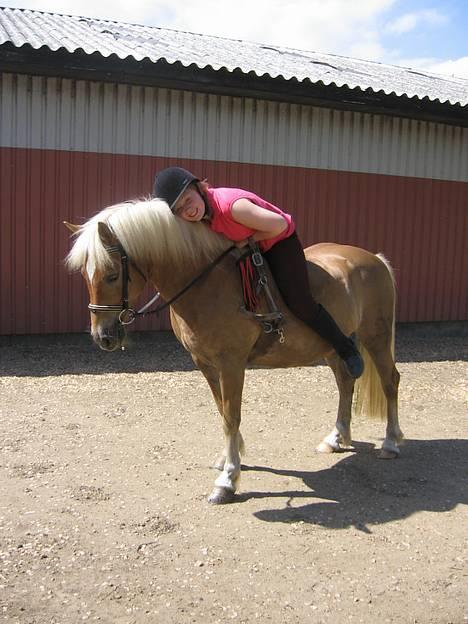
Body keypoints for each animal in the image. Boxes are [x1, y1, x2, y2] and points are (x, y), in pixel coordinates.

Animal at [66, 197, 402, 504]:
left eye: (112, 274)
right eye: (84, 273)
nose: (103, 337)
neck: (205, 283)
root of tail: (374, 259)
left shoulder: (231, 363)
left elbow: (231, 415)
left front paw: (227, 480)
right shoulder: (204, 362)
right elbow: (221, 410)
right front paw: (232, 456)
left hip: (376, 337)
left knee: (390, 382)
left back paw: (391, 442)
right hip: (334, 345)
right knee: (346, 383)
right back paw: (336, 438)